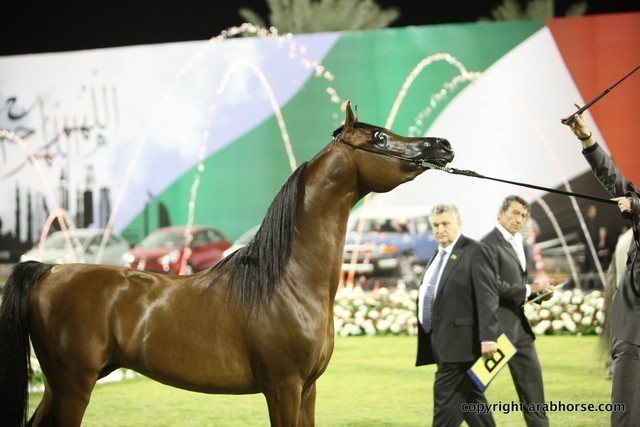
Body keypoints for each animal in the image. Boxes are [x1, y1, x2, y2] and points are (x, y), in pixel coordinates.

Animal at [0, 101, 454, 426]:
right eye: (379, 137)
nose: (442, 146)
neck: (288, 282)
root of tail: (50, 271)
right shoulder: (283, 387)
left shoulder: (307, 390)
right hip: (74, 387)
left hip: (59, 387)